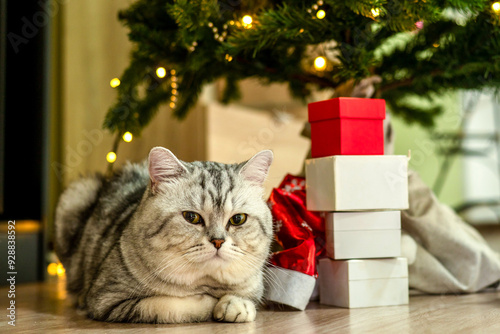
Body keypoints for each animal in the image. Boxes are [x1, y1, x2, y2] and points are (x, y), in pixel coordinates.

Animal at [54, 147, 274, 324]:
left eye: (238, 219)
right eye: (192, 217)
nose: (218, 241)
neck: (206, 282)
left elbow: (247, 299)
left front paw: (237, 305)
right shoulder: (107, 298)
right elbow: (173, 305)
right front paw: (213, 302)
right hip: (77, 193)